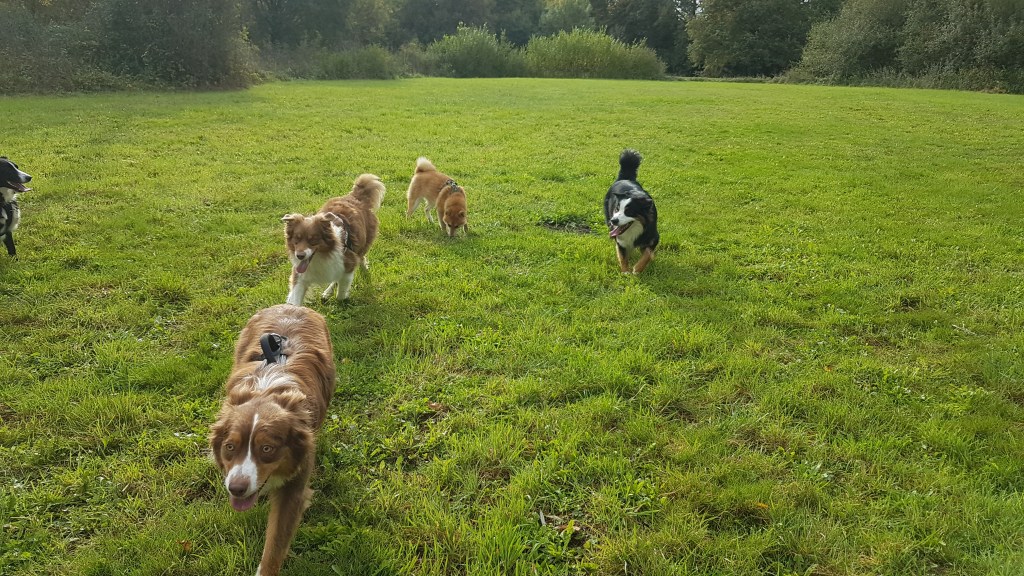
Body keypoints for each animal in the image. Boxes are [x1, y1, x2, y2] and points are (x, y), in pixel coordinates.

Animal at [209, 304, 337, 576]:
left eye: (267, 449)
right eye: (229, 447)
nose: (236, 488)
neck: (266, 392)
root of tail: (293, 306)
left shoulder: (294, 488)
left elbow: (274, 546)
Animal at [282, 174, 385, 305]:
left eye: (313, 240)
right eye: (296, 239)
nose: (300, 256)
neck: (322, 256)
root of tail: (354, 196)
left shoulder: (348, 264)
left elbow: (341, 292)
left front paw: (342, 298)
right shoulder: (300, 275)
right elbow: (295, 301)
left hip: (363, 244)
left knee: (361, 258)